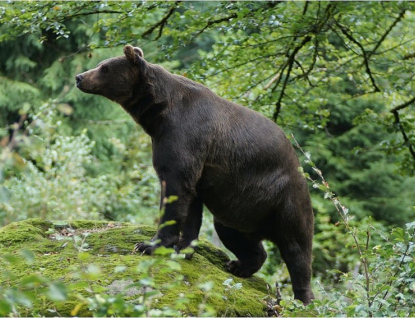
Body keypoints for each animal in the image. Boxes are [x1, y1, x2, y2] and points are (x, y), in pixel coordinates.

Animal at [75, 44, 316, 304]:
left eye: (104, 67)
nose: (79, 77)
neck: (158, 114)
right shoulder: (189, 160)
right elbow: (191, 207)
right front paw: (183, 248)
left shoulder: (184, 137)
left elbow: (175, 192)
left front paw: (149, 245)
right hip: (239, 206)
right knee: (233, 233)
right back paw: (239, 265)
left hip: (285, 199)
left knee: (296, 248)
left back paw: (303, 298)